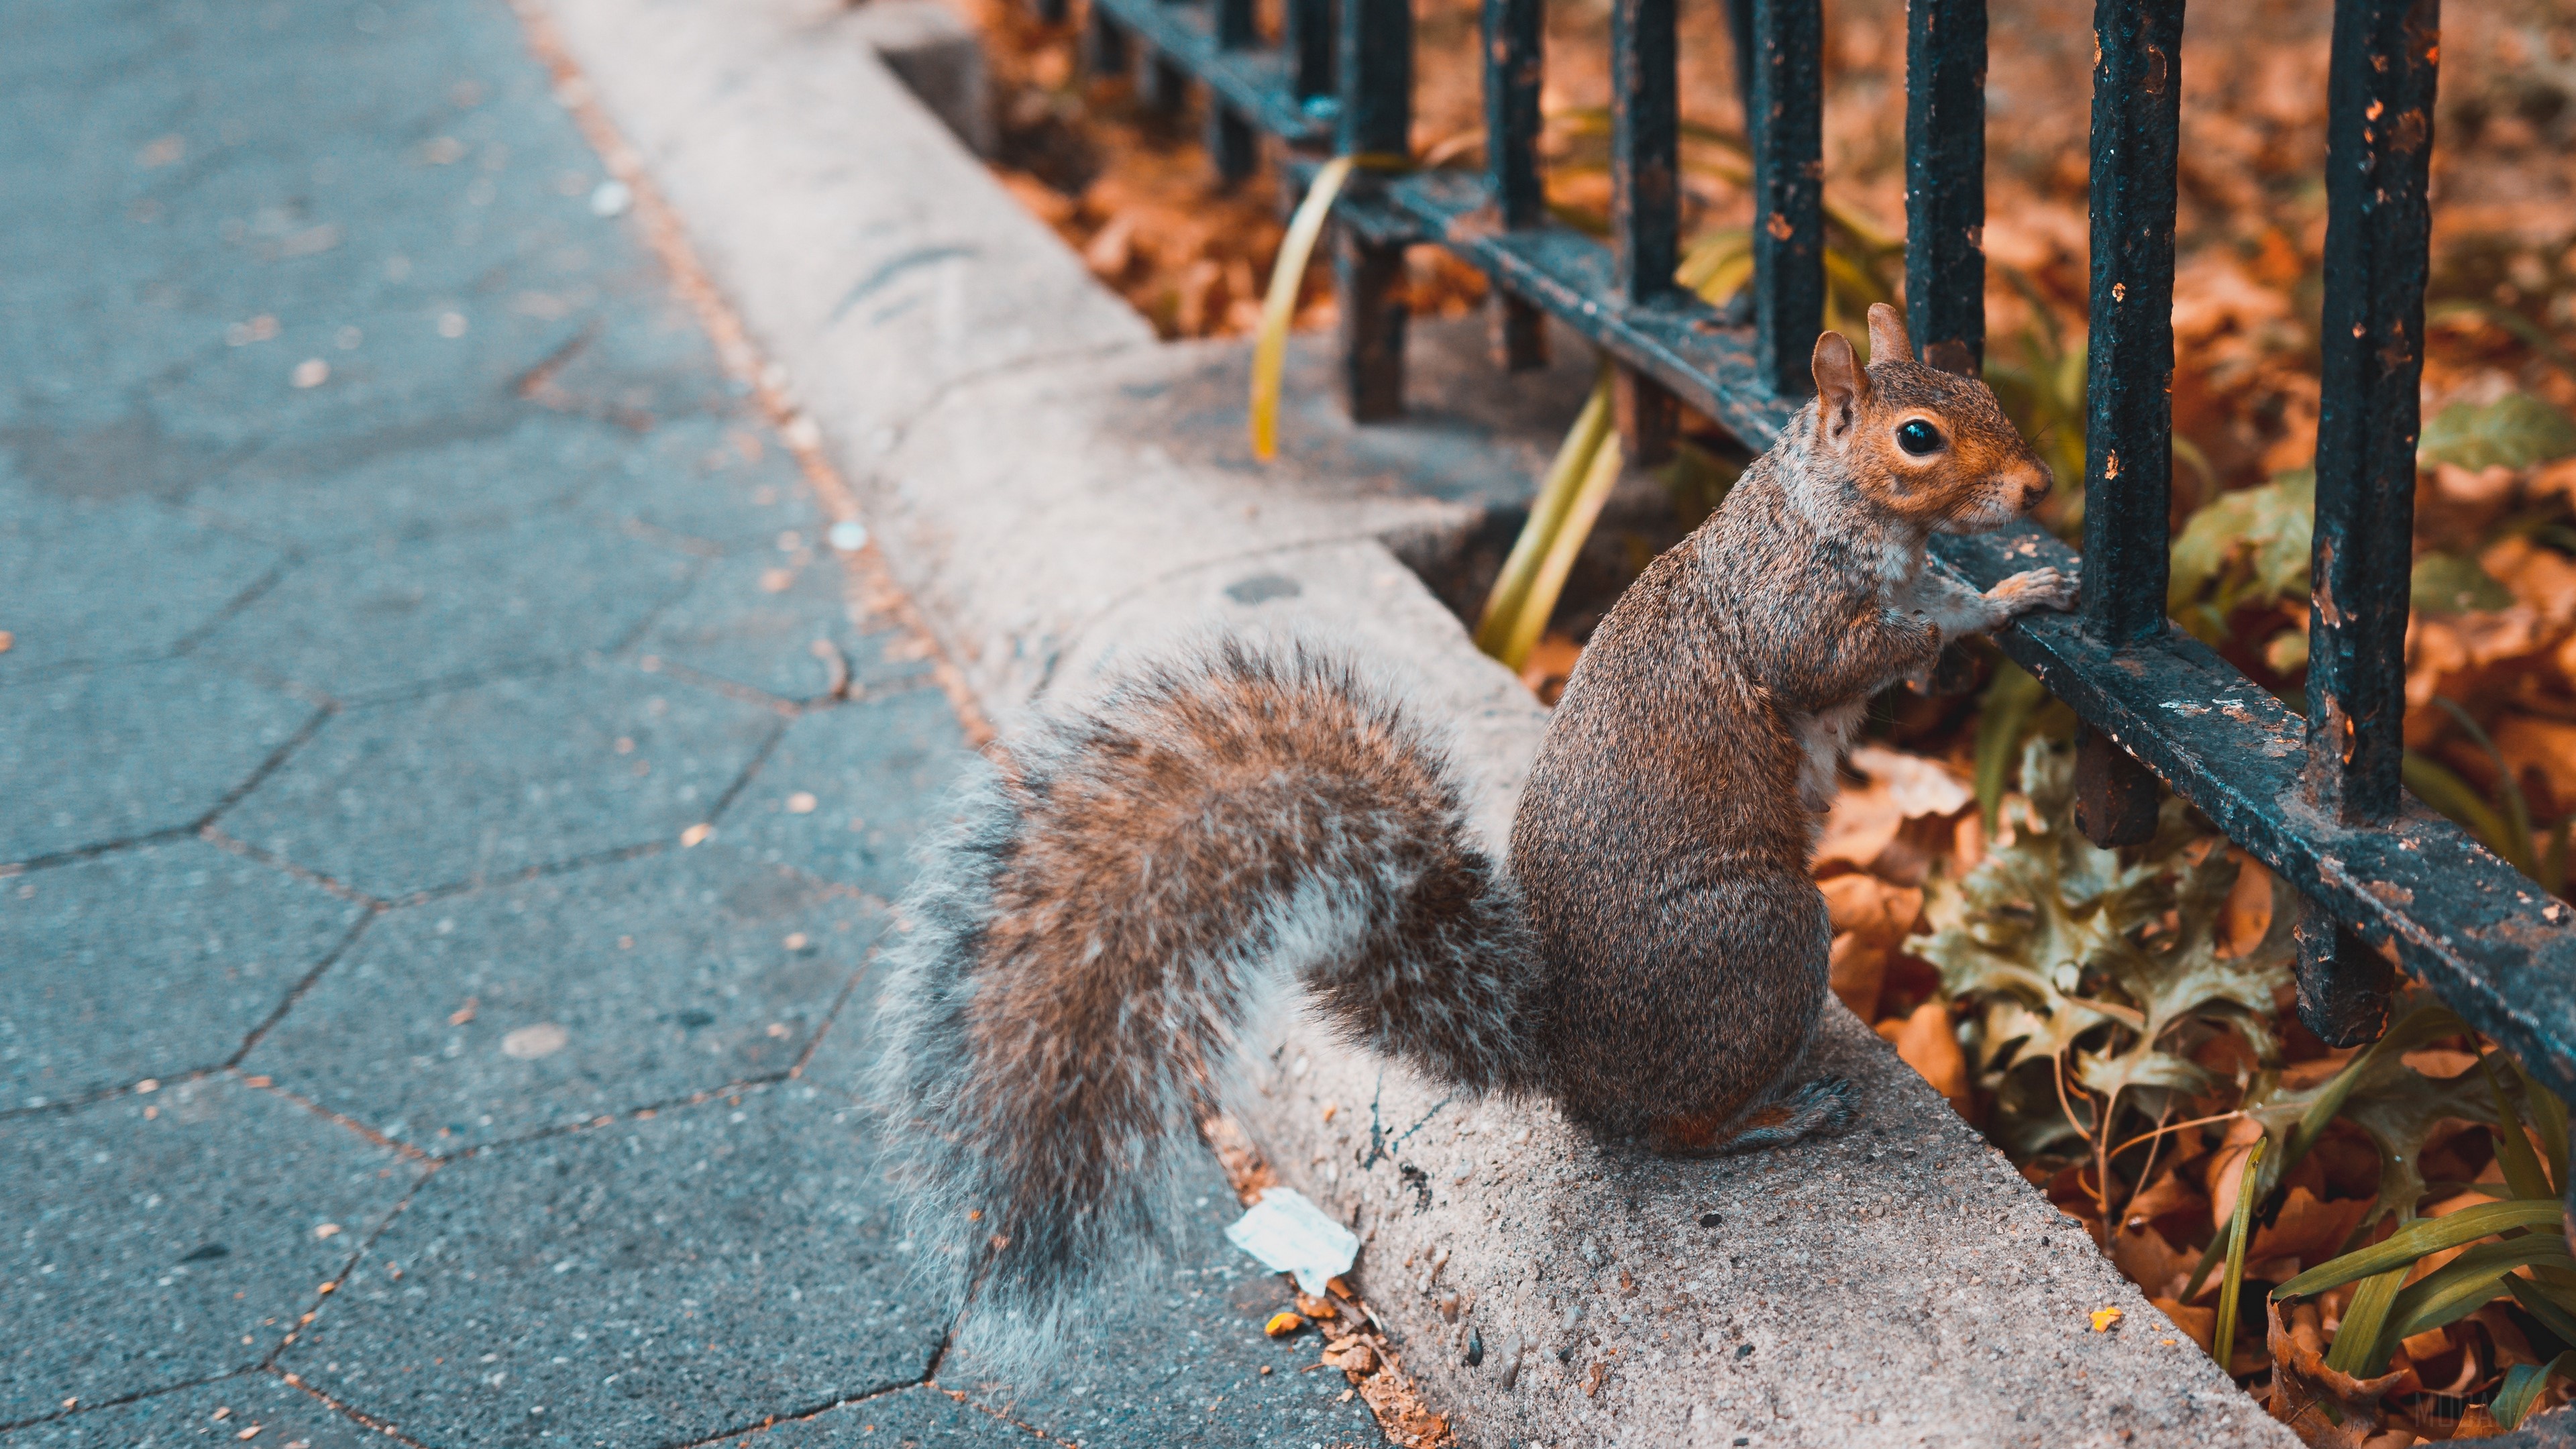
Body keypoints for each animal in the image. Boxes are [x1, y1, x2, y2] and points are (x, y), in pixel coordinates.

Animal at [869, 303, 2074, 1364]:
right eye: (1917, 436)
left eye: (1978, 385)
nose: (2039, 487)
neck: (1830, 505)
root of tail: (1566, 1051)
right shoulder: (1793, 611)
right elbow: (1861, 649)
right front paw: (1991, 600)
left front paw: (1997, 583)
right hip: (1763, 935)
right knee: (1675, 1131)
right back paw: (1781, 1115)